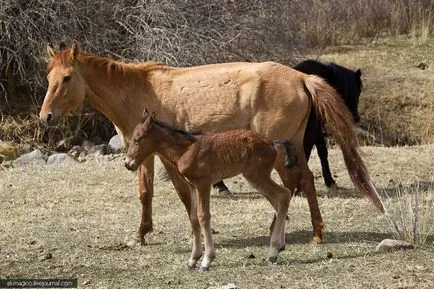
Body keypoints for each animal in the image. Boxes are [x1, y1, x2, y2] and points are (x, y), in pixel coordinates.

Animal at [122, 108, 298, 270]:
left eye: (138, 139)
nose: (128, 163)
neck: (185, 150)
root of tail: (272, 142)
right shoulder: (193, 186)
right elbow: (193, 217)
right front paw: (193, 259)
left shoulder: (203, 184)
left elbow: (203, 216)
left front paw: (206, 260)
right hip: (257, 178)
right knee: (280, 201)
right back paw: (280, 246)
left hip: (257, 176)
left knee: (283, 195)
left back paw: (273, 252)